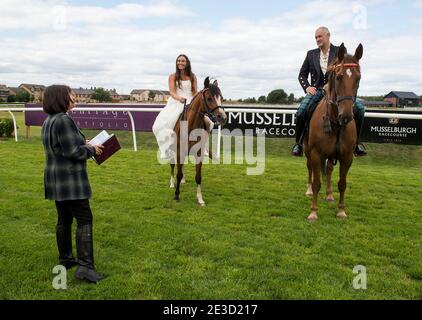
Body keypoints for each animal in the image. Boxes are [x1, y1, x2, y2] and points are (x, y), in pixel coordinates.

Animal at [171, 77, 226, 205]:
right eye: (209, 98)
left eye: (221, 98)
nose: (223, 117)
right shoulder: (180, 152)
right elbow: (178, 174)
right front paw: (176, 195)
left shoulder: (199, 153)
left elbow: (198, 177)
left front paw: (200, 199)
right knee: (172, 166)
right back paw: (171, 183)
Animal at [304, 42, 362, 221]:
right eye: (338, 77)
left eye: (358, 78)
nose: (346, 116)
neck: (336, 124)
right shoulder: (316, 154)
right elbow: (317, 183)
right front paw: (313, 212)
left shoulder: (347, 157)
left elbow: (342, 184)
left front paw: (341, 211)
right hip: (307, 150)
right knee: (310, 168)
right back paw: (309, 190)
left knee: (329, 170)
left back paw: (329, 195)